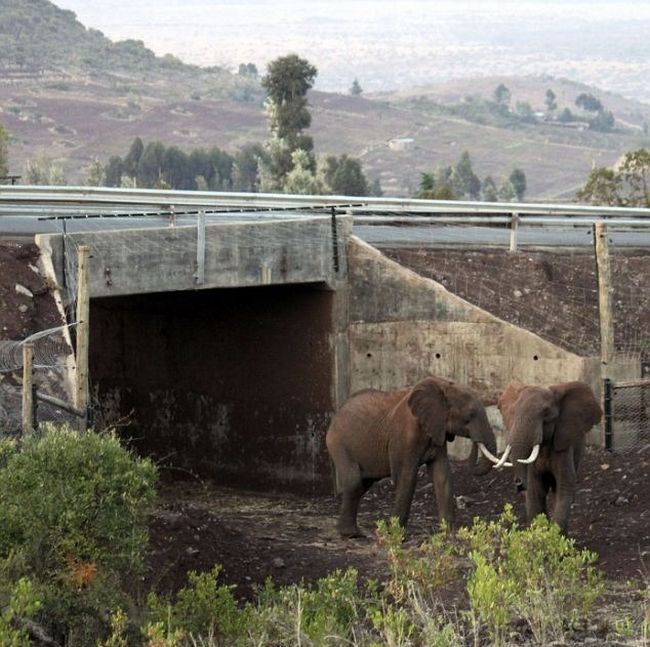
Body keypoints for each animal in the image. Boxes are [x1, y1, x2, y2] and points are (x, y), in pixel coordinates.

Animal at [324, 378, 496, 540]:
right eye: (470, 415)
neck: (442, 385)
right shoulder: (404, 435)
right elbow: (406, 477)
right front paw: (396, 536)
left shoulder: (436, 430)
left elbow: (442, 476)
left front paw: (450, 535)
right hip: (338, 442)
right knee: (354, 482)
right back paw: (351, 534)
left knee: (362, 484)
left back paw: (353, 533)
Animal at [496, 378, 604, 536]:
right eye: (513, 412)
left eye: (545, 413)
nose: (518, 484)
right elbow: (535, 490)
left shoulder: (563, 447)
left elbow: (564, 486)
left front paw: (557, 538)